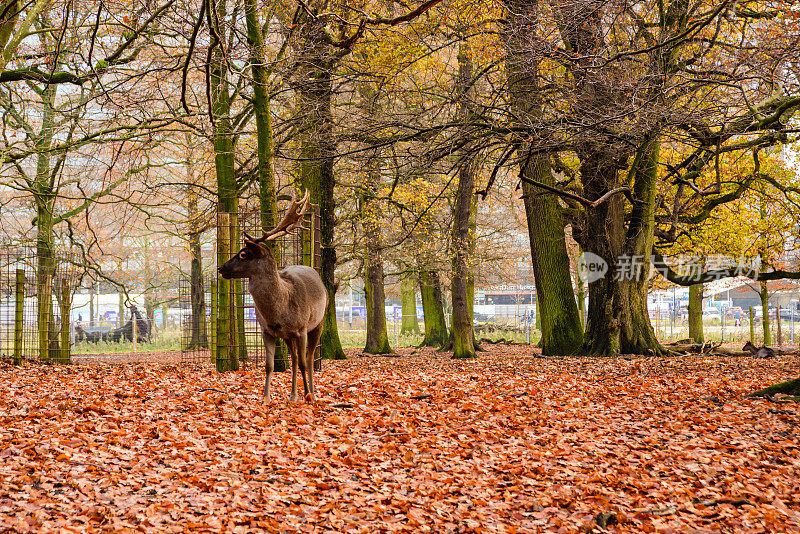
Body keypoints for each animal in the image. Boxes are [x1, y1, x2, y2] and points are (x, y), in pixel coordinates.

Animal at [217, 191, 326, 404]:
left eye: (243, 254)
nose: (221, 267)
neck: (279, 311)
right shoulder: (267, 330)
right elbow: (269, 366)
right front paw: (265, 397)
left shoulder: (301, 328)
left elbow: (303, 362)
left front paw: (308, 395)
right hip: (288, 336)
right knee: (294, 358)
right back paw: (293, 395)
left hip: (318, 322)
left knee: (308, 359)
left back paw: (312, 392)